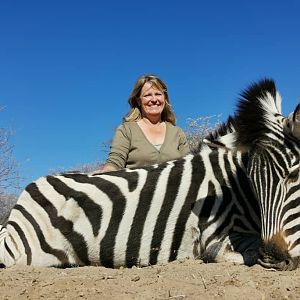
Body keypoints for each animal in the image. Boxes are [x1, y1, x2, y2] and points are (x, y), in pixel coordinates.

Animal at [0, 79, 298, 270]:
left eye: (292, 176)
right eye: (252, 180)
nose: (275, 257)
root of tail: (31, 187)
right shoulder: (215, 236)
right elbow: (230, 253)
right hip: (18, 248)